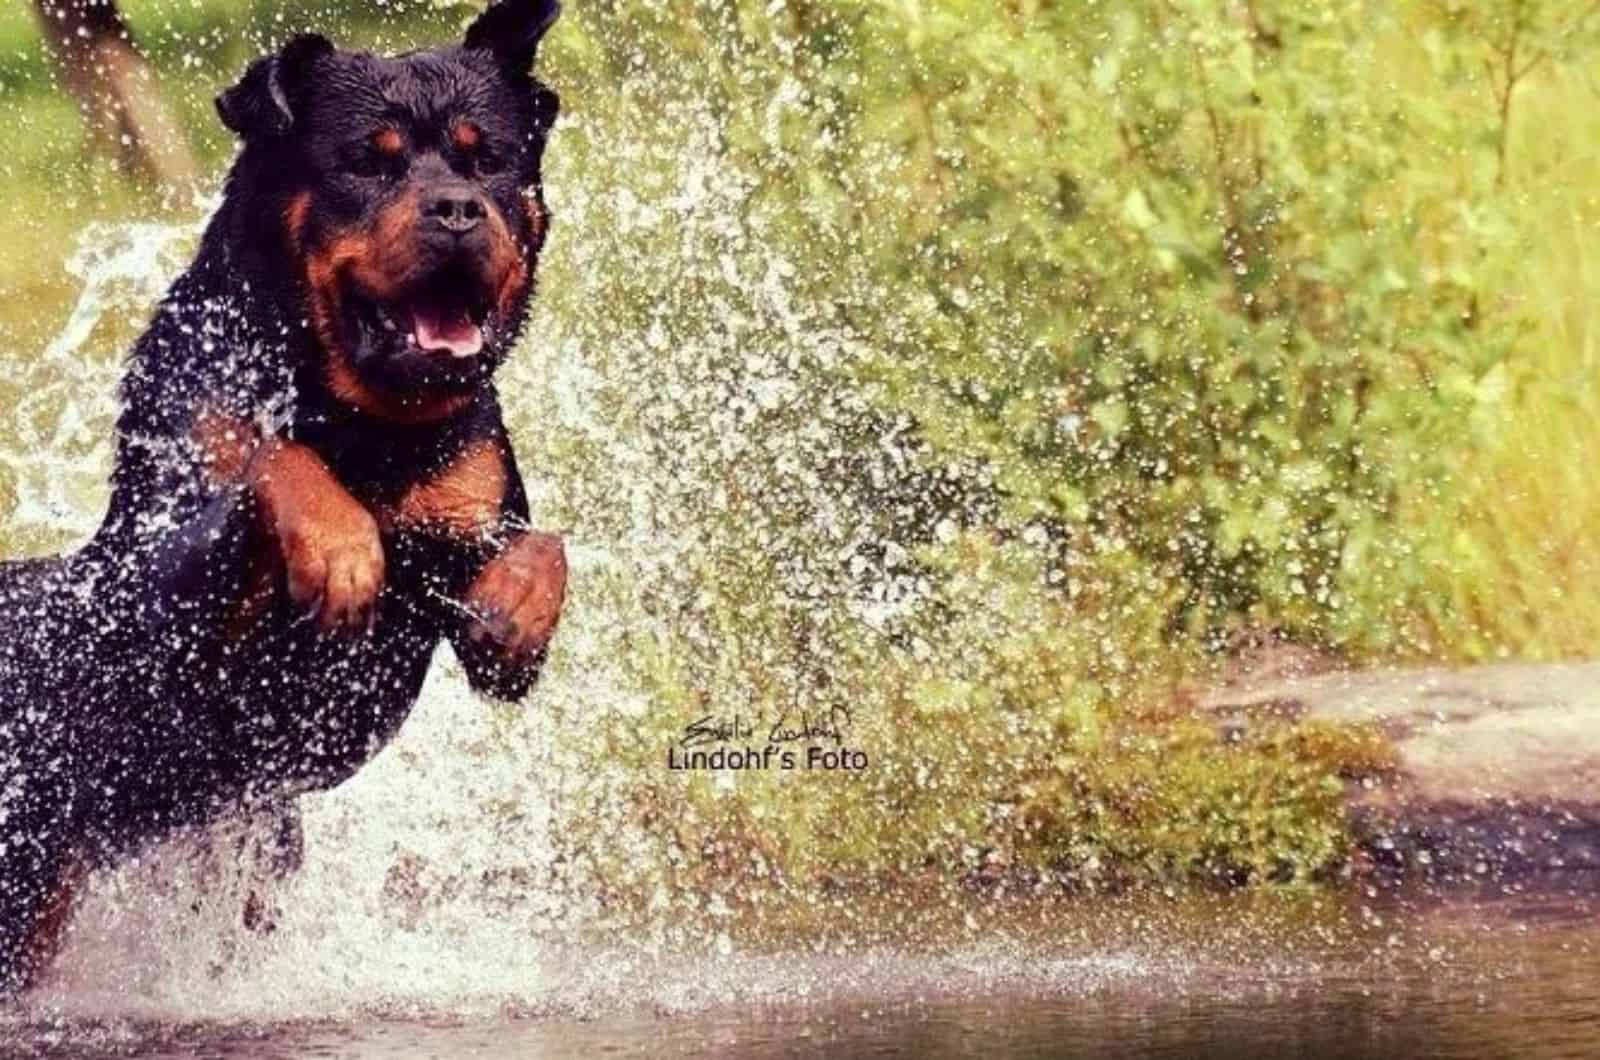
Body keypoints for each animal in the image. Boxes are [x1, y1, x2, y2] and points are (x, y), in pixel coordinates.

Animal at [0, 2, 572, 999]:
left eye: (488, 159)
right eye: (369, 162)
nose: (457, 210)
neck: (366, 424)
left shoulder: (464, 513)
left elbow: (542, 546)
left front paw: (513, 607)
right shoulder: (155, 601)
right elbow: (274, 457)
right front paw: (342, 550)